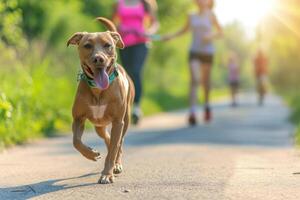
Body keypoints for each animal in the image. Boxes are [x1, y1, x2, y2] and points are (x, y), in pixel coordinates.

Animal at [68, 17, 135, 184]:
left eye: (107, 45)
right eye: (87, 45)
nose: (99, 58)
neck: (98, 90)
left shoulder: (118, 122)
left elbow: (113, 149)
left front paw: (107, 174)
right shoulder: (78, 119)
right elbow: (76, 141)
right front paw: (91, 153)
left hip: (125, 120)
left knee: (118, 143)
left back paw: (116, 164)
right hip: (99, 126)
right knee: (108, 139)